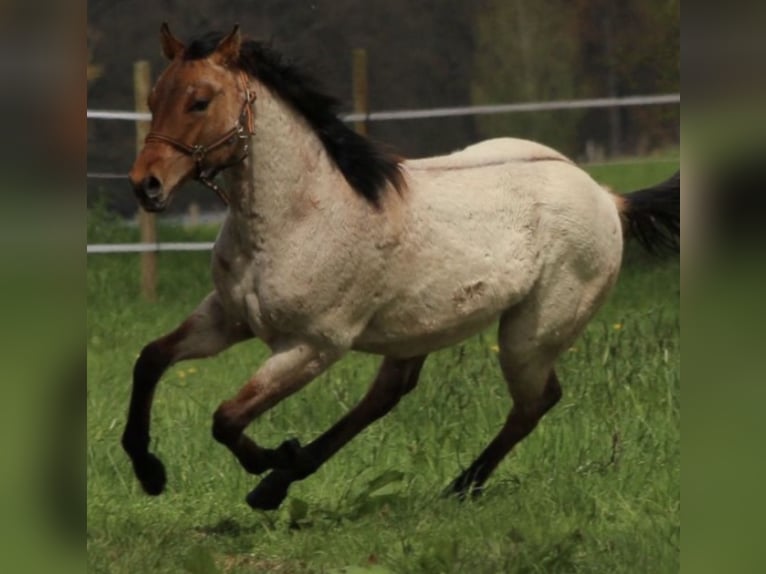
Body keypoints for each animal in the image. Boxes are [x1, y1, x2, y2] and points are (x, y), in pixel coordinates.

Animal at [123, 24, 680, 512]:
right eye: (153, 99)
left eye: (200, 101)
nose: (146, 185)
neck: (300, 215)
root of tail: (608, 197)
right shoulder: (227, 316)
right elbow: (151, 359)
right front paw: (150, 474)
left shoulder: (312, 346)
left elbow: (226, 418)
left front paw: (273, 454)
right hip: (420, 330)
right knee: (390, 395)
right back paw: (281, 484)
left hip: (530, 335)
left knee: (533, 403)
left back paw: (456, 487)